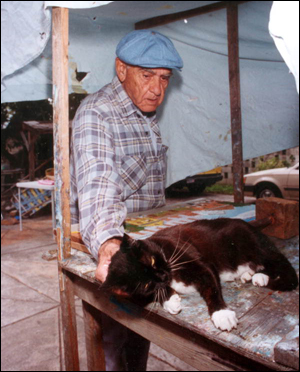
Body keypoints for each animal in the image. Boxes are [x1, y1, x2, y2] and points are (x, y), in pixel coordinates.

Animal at [103, 218, 298, 332]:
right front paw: (170, 300)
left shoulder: (200, 264)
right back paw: (249, 275)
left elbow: (211, 287)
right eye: (145, 284)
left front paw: (222, 314)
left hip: (255, 245)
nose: (162, 276)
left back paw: (263, 277)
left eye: (151, 260)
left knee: (282, 265)